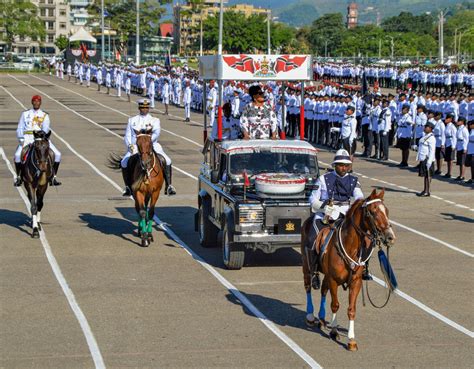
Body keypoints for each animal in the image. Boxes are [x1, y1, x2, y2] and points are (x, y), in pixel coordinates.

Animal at [300, 190, 396, 350]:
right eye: (372, 211)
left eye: (386, 211)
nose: (390, 237)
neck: (349, 245)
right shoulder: (333, 280)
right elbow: (335, 305)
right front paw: (333, 331)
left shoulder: (355, 282)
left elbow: (351, 309)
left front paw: (351, 339)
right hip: (306, 266)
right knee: (308, 286)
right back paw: (310, 315)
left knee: (323, 290)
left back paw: (321, 318)